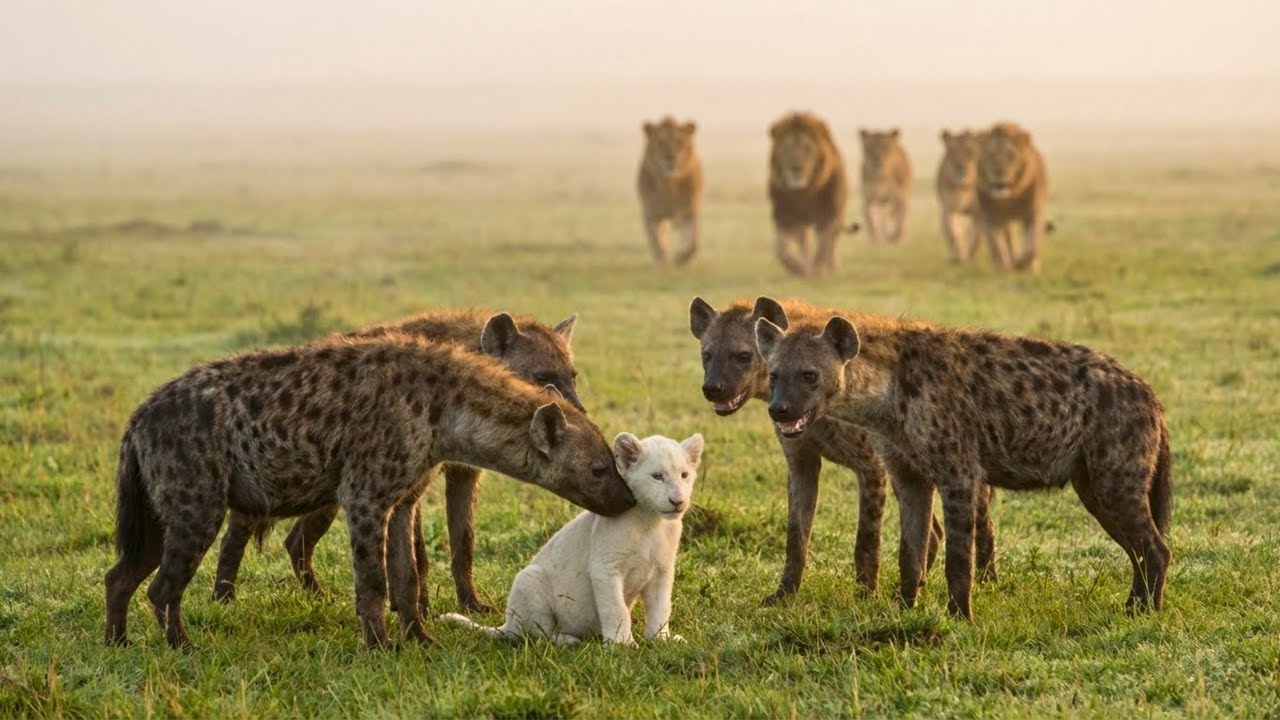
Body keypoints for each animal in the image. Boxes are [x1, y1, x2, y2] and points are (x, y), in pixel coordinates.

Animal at [638, 117, 703, 265]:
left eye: (679, 142)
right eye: (660, 143)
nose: (670, 158)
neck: (669, 185)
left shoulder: (690, 212)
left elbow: (693, 243)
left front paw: (681, 259)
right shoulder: (652, 214)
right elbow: (657, 241)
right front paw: (664, 262)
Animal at [768, 112, 848, 277]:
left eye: (807, 147)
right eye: (787, 147)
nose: (796, 168)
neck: (803, 193)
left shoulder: (828, 214)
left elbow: (824, 244)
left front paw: (818, 270)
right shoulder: (783, 215)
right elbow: (782, 250)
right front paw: (798, 269)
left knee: (832, 240)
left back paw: (831, 266)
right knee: (804, 242)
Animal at [936, 129, 981, 262]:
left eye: (969, 151)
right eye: (952, 151)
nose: (960, 167)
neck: (963, 186)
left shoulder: (979, 212)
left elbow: (976, 237)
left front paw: (971, 256)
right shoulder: (950, 209)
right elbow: (954, 234)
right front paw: (959, 257)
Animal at [975, 122, 1049, 273]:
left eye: (1010, 155)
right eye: (990, 155)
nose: (998, 171)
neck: (1009, 198)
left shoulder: (1034, 213)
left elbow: (1032, 247)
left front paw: (1022, 265)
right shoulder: (991, 217)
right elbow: (997, 247)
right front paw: (1004, 270)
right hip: (1004, 221)